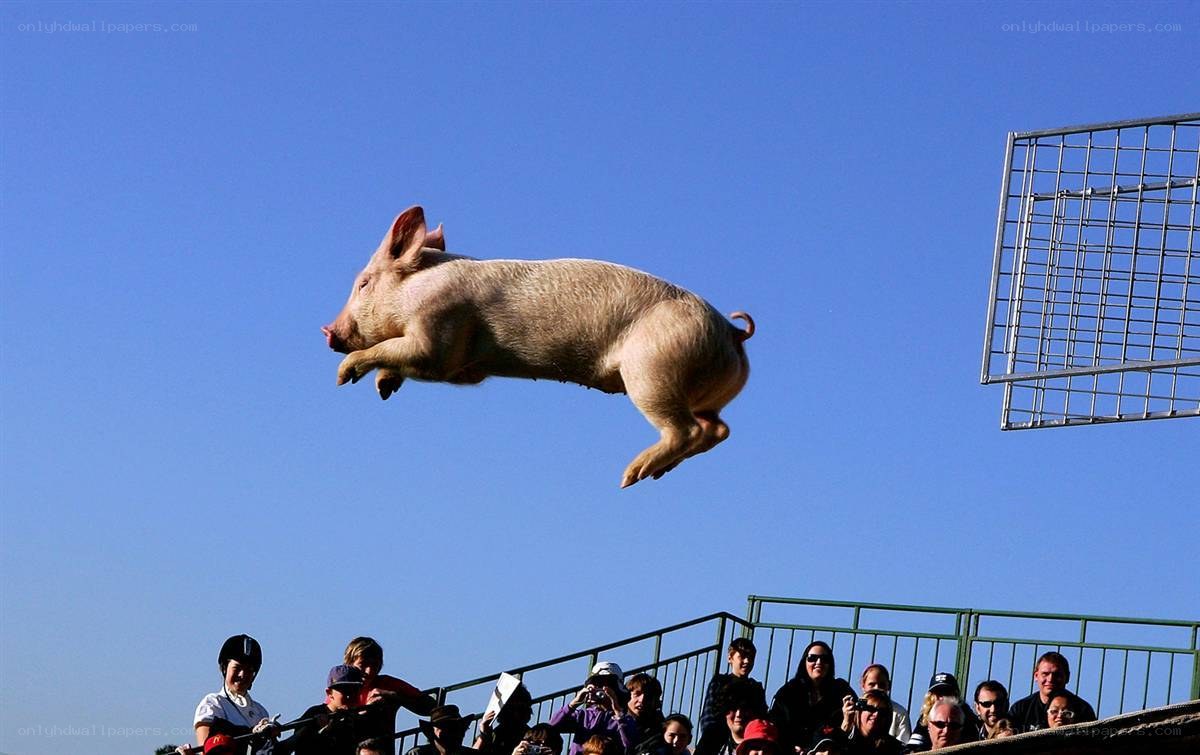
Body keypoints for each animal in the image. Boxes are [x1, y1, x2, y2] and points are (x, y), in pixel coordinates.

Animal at [324, 206, 754, 488]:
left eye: (363, 283)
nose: (329, 331)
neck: (417, 290)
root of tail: (733, 333)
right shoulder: (466, 367)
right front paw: (383, 388)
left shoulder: (440, 329)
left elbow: (412, 353)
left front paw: (343, 378)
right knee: (718, 429)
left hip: (653, 372)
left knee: (687, 430)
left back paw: (631, 476)